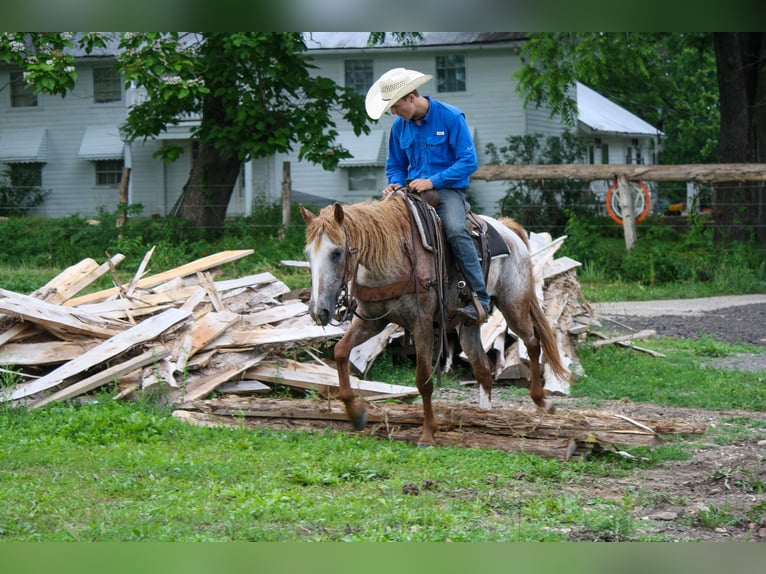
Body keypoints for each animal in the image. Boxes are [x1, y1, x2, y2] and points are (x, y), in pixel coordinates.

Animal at [300, 192, 569, 446]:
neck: (392, 255)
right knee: (482, 367)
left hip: (514, 305)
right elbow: (341, 352)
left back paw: (542, 402)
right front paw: (355, 413)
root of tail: (507, 231)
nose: (318, 310)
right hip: (468, 325)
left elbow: (423, 380)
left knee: (533, 342)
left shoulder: (422, 325)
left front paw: (428, 434)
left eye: (336, 253)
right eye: (308, 254)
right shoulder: (370, 320)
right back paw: (485, 414)